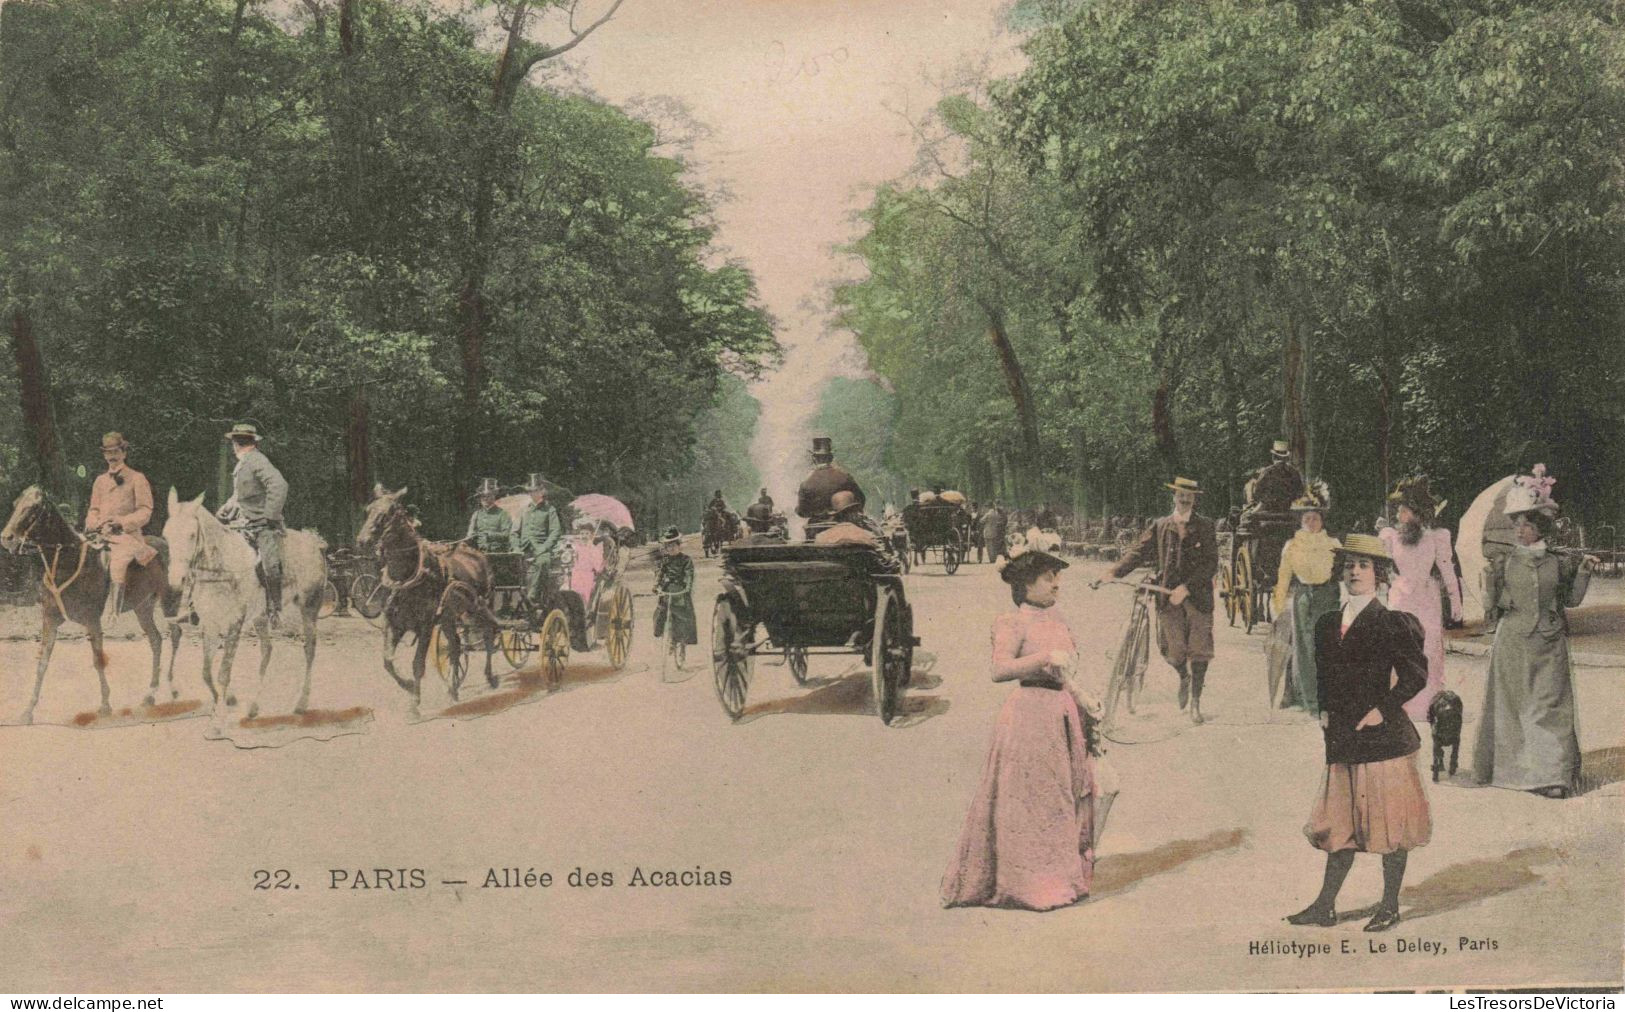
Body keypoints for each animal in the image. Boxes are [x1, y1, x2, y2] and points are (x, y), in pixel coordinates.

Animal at [1, 487, 185, 724]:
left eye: (33, 507)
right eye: (16, 503)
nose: (7, 538)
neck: (66, 563)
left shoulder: (92, 620)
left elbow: (98, 660)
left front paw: (105, 705)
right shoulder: (49, 619)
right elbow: (43, 662)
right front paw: (27, 711)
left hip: (169, 600)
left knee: (176, 635)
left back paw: (172, 689)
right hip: (143, 607)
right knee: (156, 640)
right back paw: (149, 696)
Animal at [161, 490, 326, 721]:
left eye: (192, 535)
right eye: (166, 535)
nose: (177, 580)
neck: (221, 567)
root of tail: (314, 543)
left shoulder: (234, 623)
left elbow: (223, 672)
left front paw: (221, 710)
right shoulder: (210, 623)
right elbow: (206, 672)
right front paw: (225, 700)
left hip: (308, 610)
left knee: (309, 650)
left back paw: (301, 704)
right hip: (261, 616)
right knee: (267, 650)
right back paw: (254, 706)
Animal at [357, 487, 497, 708]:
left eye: (389, 512)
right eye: (368, 509)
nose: (362, 541)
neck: (407, 579)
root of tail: (478, 554)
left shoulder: (426, 626)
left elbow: (417, 664)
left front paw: (414, 704)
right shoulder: (394, 623)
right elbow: (387, 660)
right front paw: (407, 685)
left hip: (480, 608)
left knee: (489, 636)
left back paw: (489, 677)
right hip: (448, 617)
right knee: (455, 645)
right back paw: (453, 689)